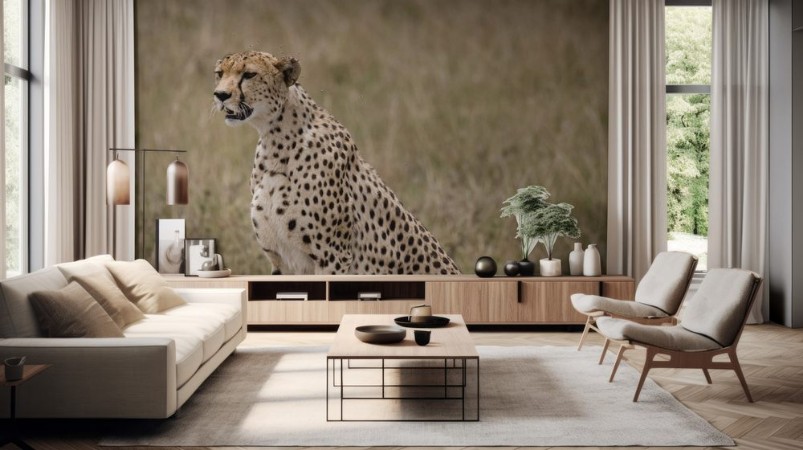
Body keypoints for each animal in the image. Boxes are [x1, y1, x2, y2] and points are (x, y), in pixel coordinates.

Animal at [213, 51, 460, 275]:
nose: (220, 95)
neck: (275, 142)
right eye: (219, 73)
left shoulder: (332, 256)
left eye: (249, 74)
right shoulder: (280, 259)